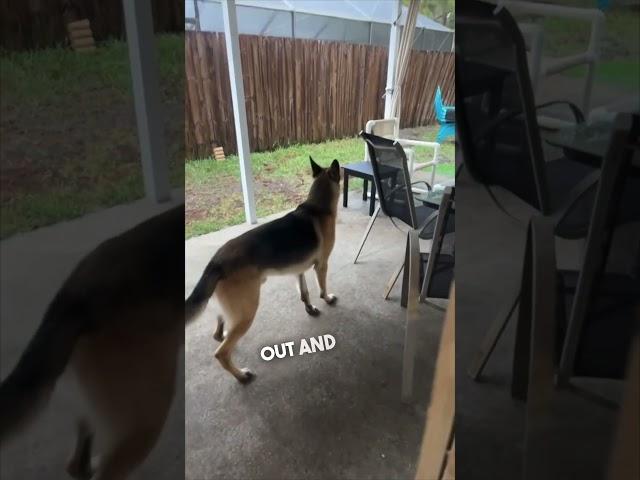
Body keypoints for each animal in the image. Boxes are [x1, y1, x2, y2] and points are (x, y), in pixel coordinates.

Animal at [185, 158, 342, 382]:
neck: (317, 205)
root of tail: (216, 261)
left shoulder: (299, 271)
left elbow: (304, 293)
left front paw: (310, 308)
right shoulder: (321, 265)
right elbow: (321, 288)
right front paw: (327, 298)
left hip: (233, 310)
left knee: (219, 333)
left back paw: (223, 336)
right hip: (247, 311)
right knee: (221, 353)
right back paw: (241, 375)